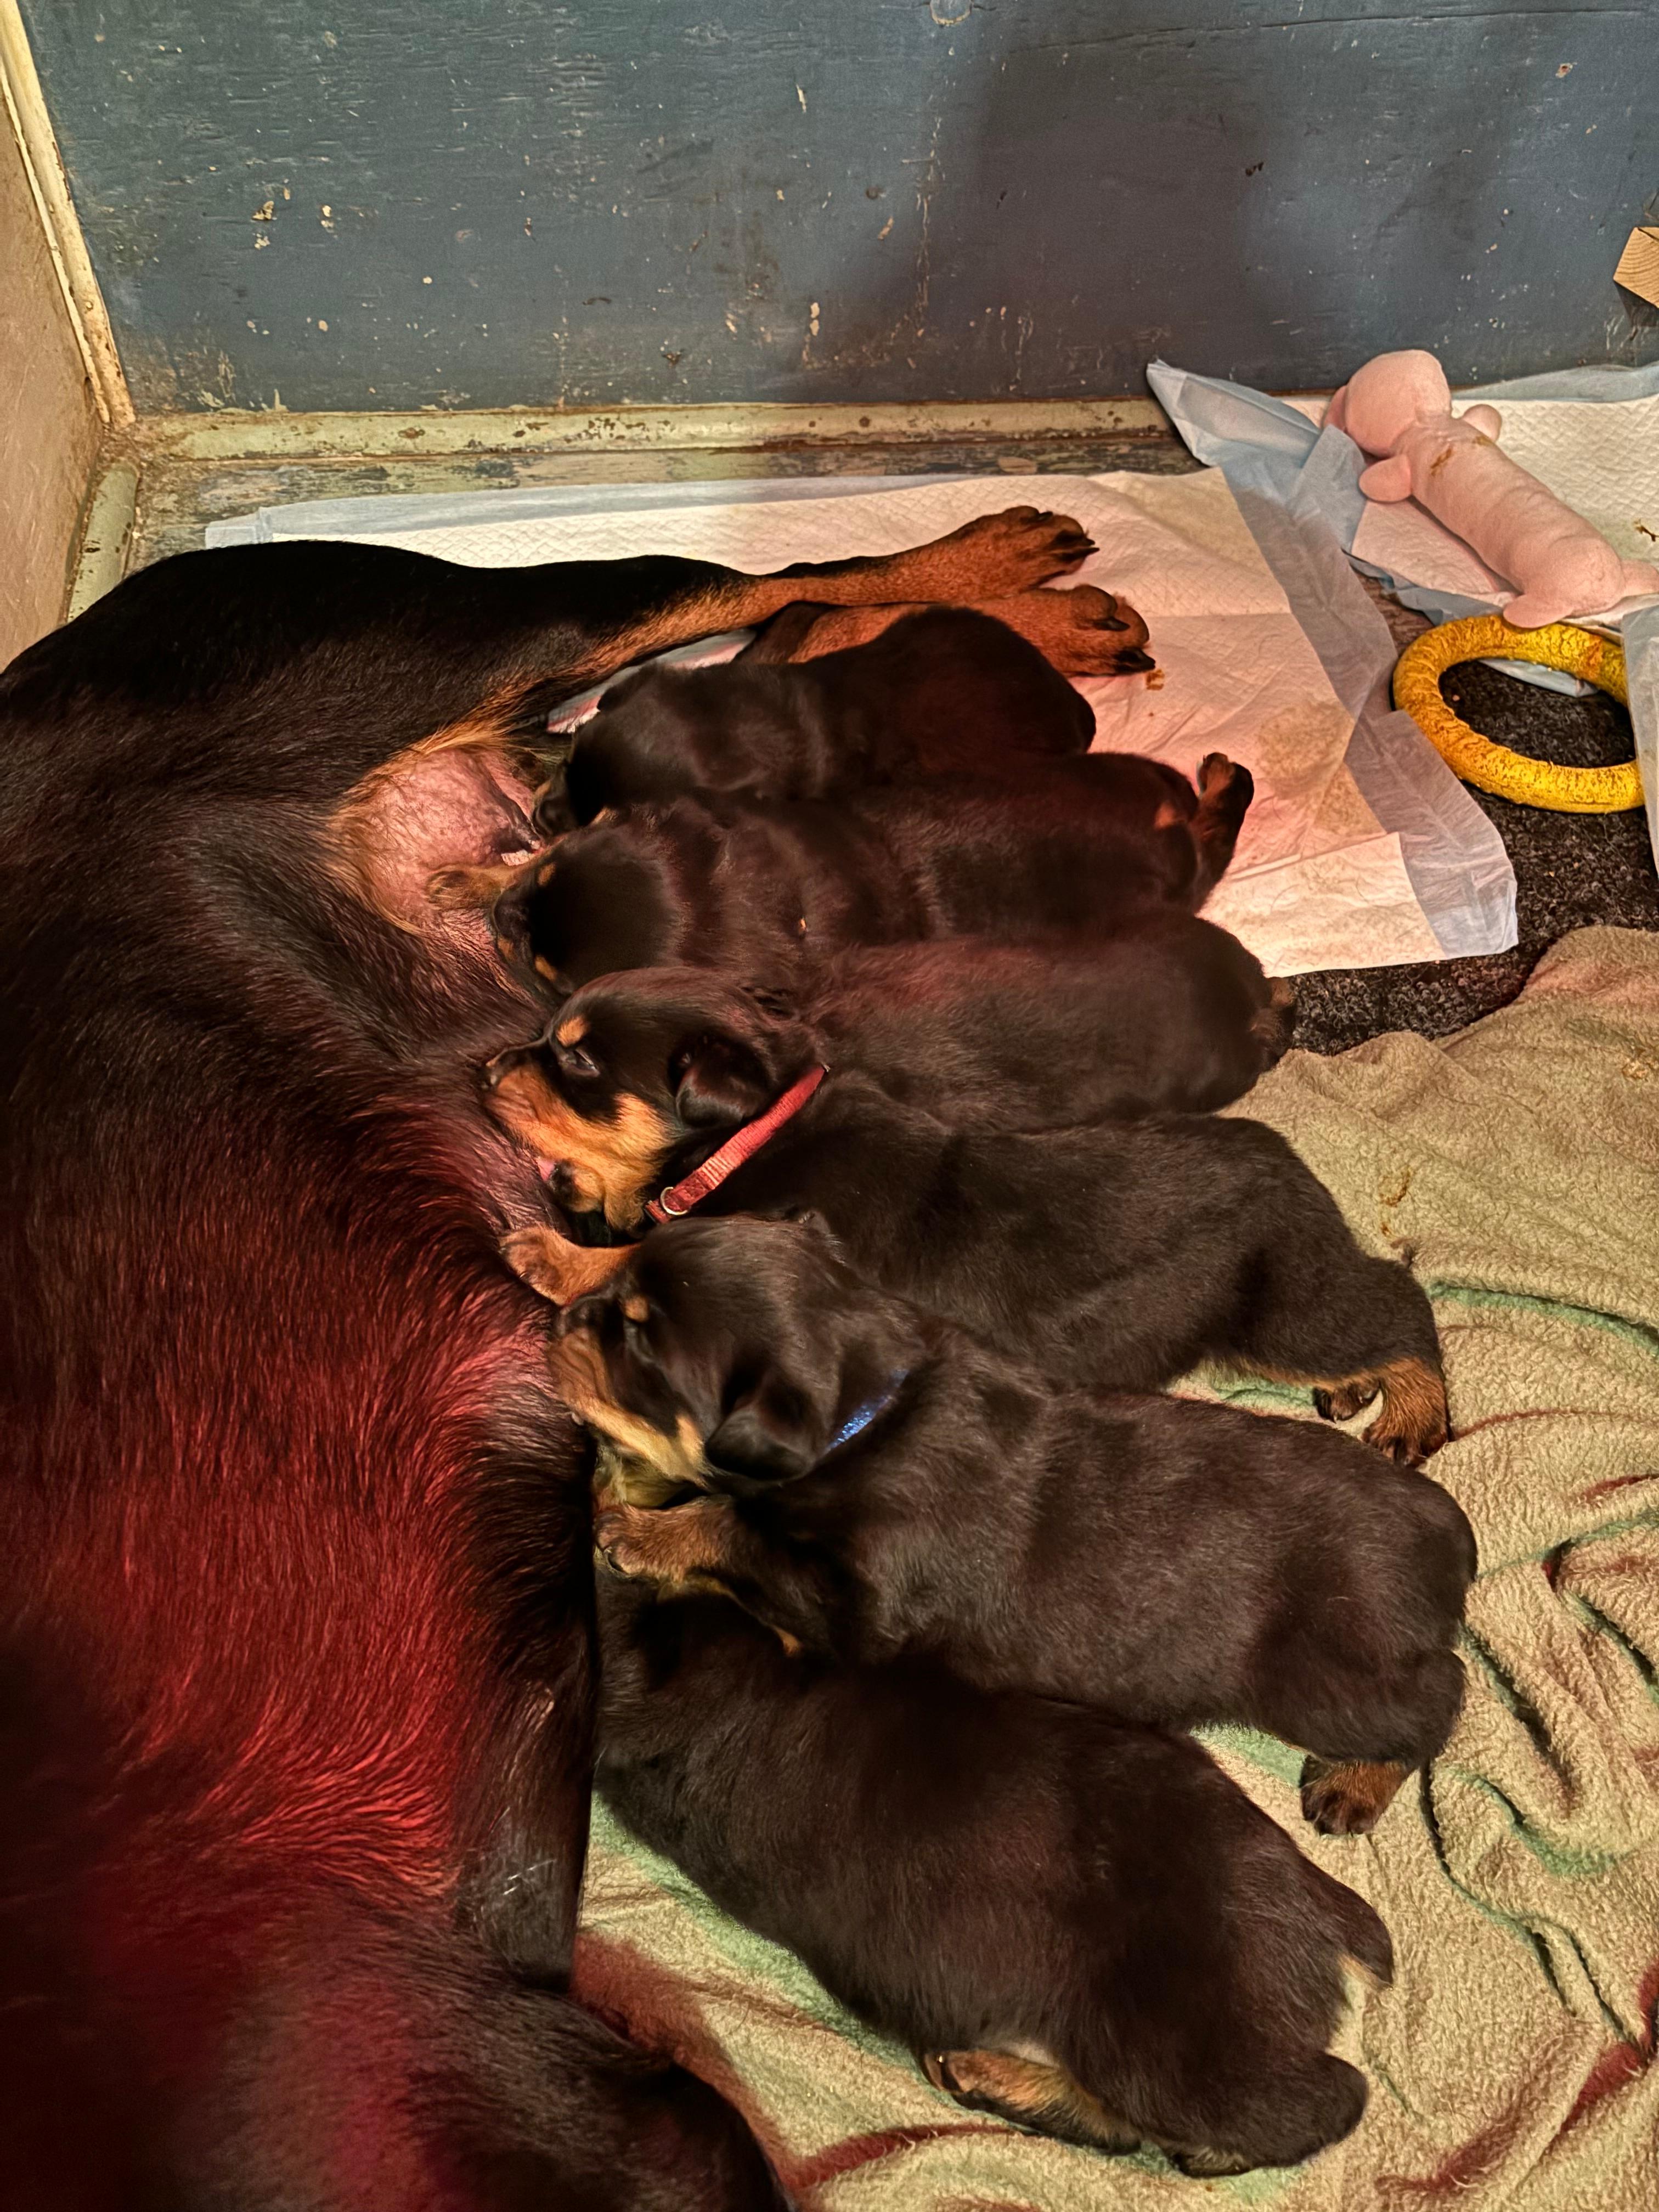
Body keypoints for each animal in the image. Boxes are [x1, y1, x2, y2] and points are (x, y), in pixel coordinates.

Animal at [442, 747, 1256, 1000]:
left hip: (1177, 880)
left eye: (547, 976)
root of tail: (1159, 814)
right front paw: (471, 881)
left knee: (1214, 839)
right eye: (543, 884)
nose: (502, 922)